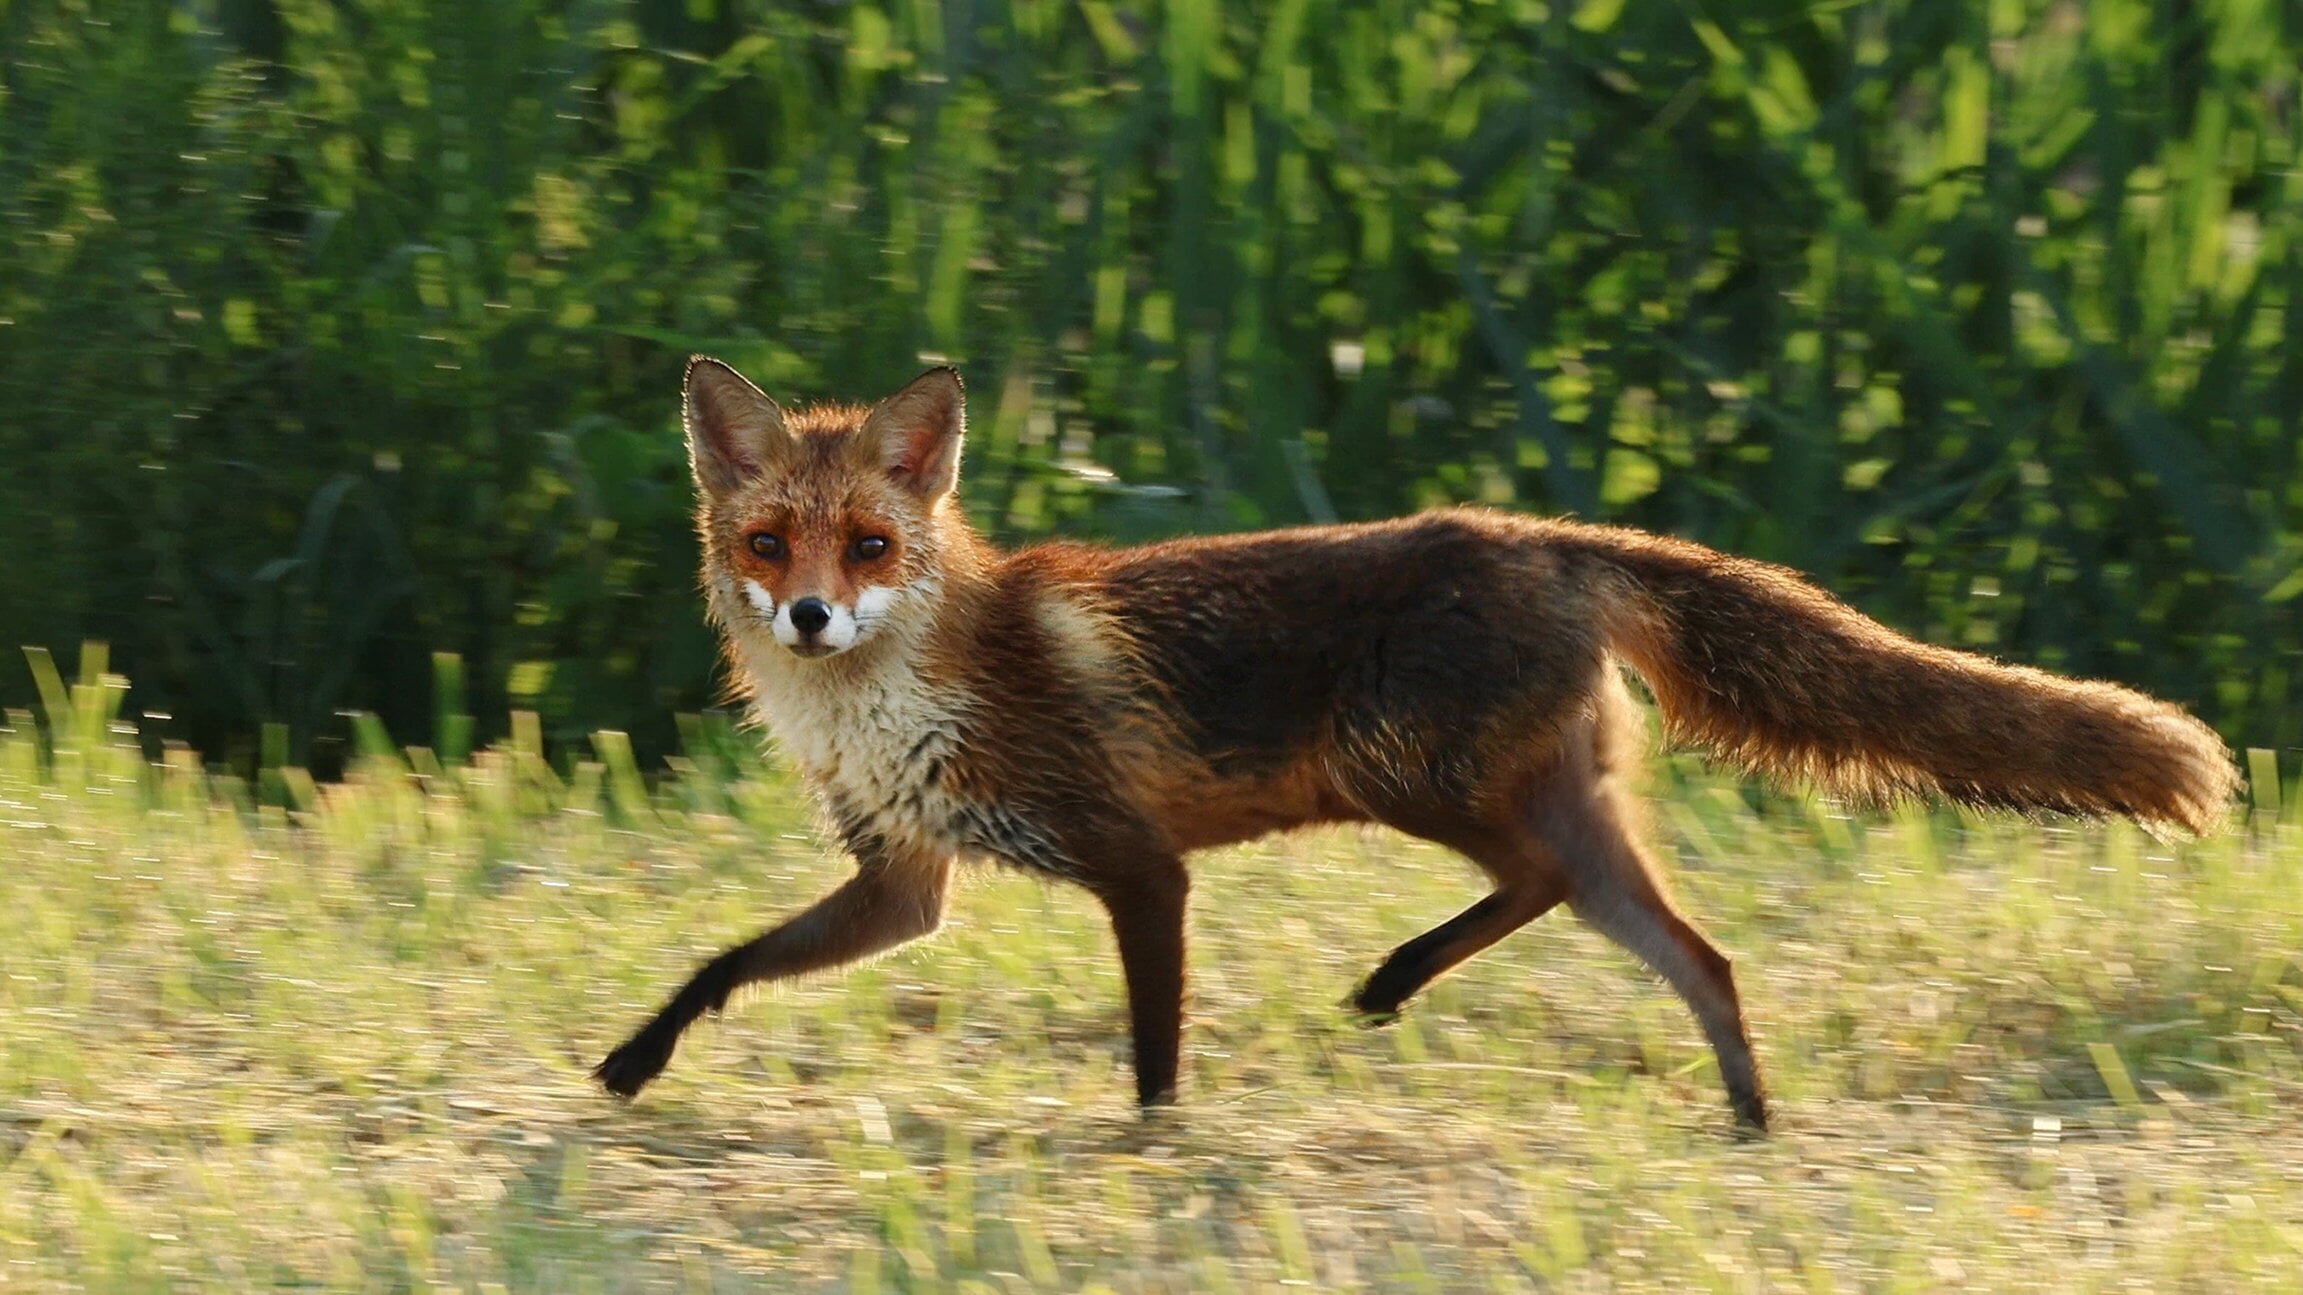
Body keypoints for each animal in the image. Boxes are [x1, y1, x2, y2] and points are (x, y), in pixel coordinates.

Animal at [594, 357, 2229, 1124]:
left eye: (870, 545)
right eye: (768, 543)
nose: (809, 615)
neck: (898, 699)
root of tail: (1545, 535)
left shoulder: (1137, 865)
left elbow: (1152, 1048)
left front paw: (1153, 1147)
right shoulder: (904, 880)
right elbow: (721, 962)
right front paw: (631, 1058)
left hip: (1412, 775)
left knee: (1562, 897)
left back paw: (1398, 982)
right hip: (1524, 801)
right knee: (1696, 955)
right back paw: (1744, 1120)